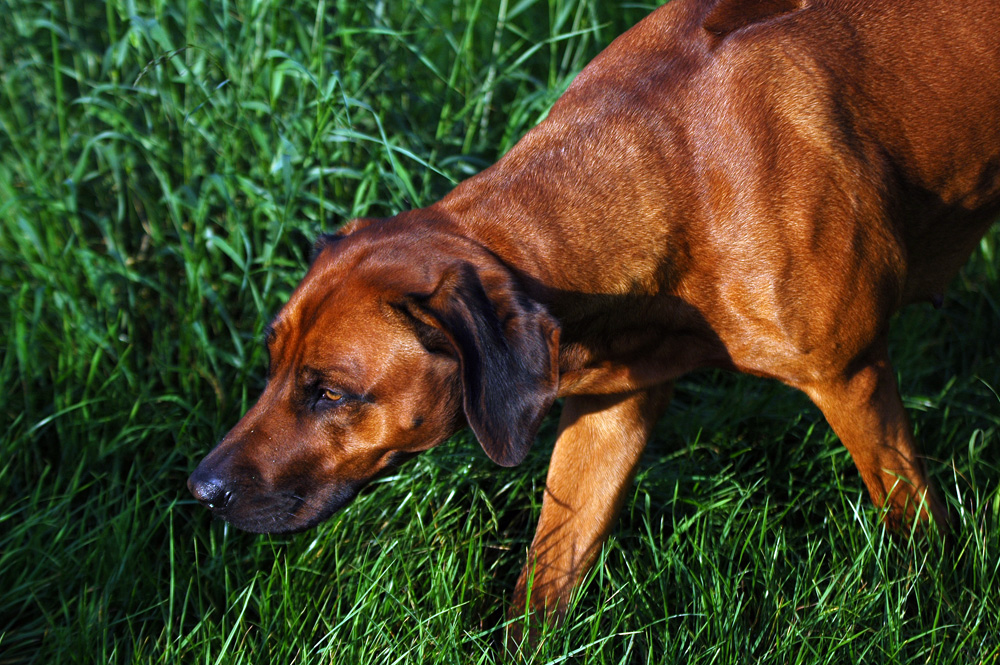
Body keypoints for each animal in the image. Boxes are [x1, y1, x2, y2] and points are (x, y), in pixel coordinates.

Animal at [188, 0, 1000, 628]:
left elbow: (915, 522)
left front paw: (937, 603)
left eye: (329, 392)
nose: (202, 489)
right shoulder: (611, 403)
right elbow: (550, 566)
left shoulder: (852, 378)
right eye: (271, 367)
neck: (675, 171)